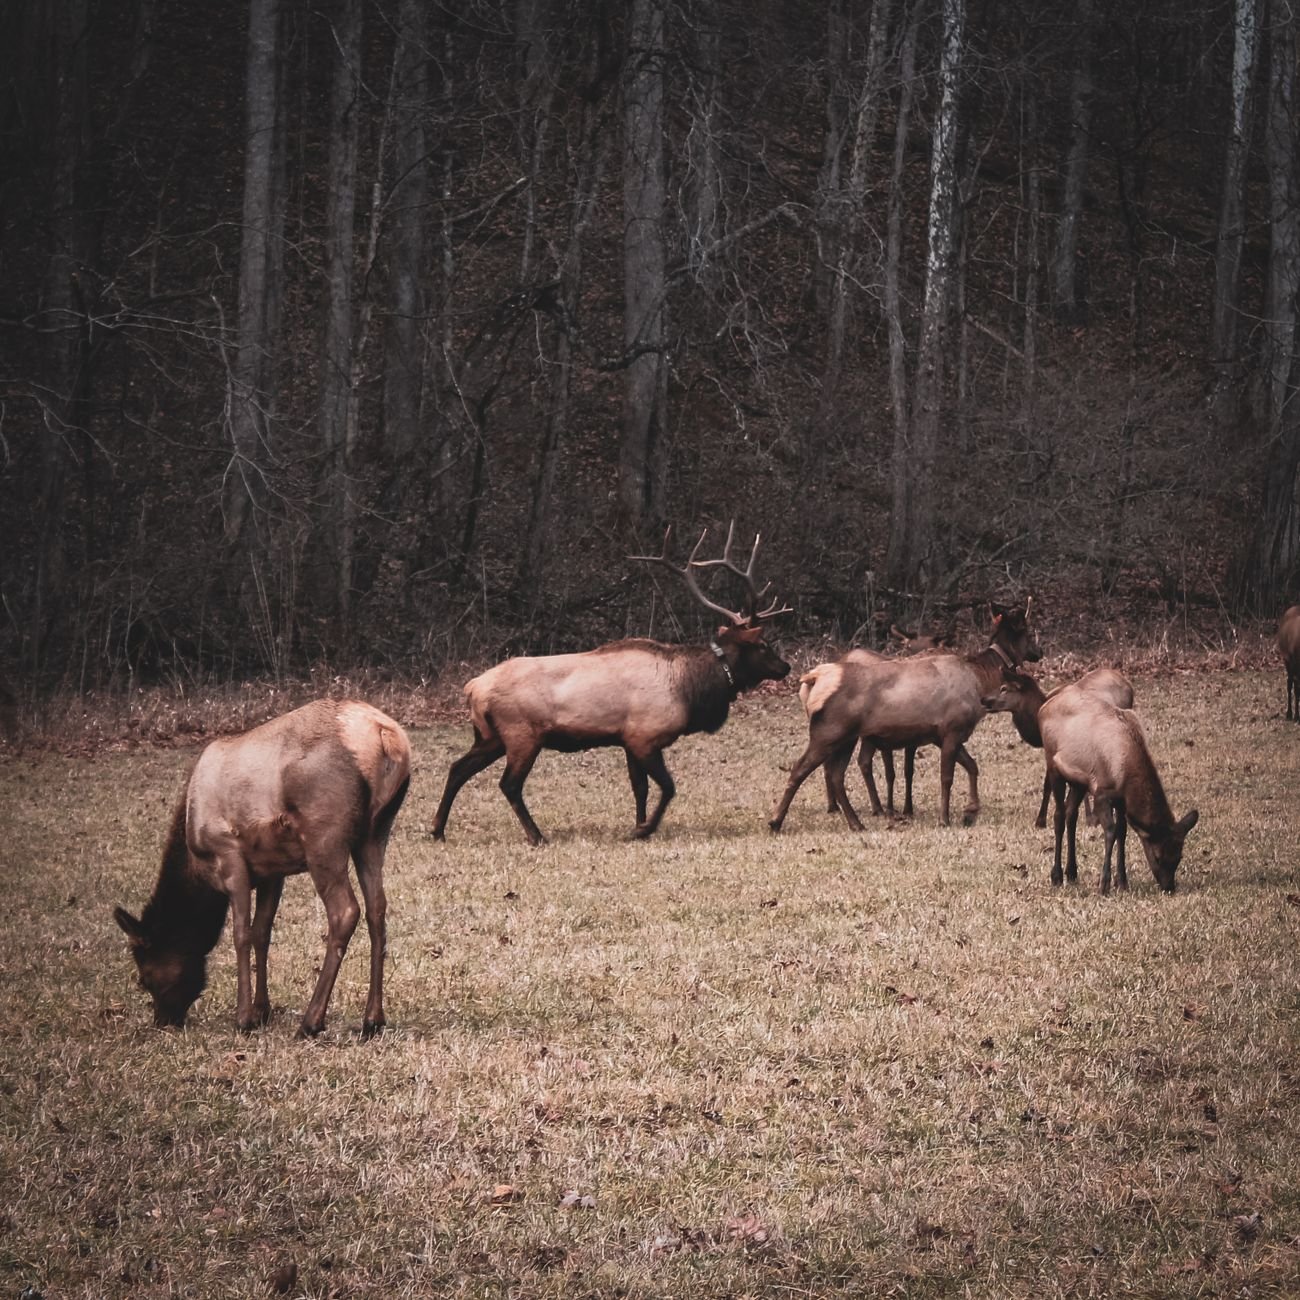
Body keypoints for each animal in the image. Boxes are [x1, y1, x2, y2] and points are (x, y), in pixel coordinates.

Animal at [114, 700, 411, 1036]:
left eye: (144, 977)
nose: (164, 1020)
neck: (197, 869)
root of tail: (385, 737)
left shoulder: (228, 854)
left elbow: (241, 934)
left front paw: (244, 1017)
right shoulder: (273, 869)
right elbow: (262, 932)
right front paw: (261, 1010)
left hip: (324, 837)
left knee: (345, 911)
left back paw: (311, 1021)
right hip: (374, 834)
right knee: (377, 909)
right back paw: (373, 1019)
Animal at [431, 525, 791, 845]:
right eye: (763, 646)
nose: (786, 667)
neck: (690, 690)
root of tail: (473, 688)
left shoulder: (628, 739)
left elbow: (640, 788)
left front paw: (637, 826)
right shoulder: (645, 737)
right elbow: (668, 787)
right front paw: (644, 829)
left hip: (490, 737)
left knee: (457, 768)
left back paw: (437, 830)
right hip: (522, 734)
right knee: (509, 784)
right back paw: (536, 835)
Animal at [770, 604, 1042, 832]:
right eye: (1028, 633)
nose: (1039, 652)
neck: (979, 681)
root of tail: (812, 679)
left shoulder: (943, 735)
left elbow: (972, 766)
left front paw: (970, 811)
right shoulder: (952, 729)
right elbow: (947, 777)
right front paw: (945, 819)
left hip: (846, 737)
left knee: (836, 775)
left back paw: (856, 823)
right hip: (829, 731)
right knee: (799, 769)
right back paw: (776, 821)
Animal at [1039, 688, 1198, 894]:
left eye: (1179, 856)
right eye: (1157, 857)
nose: (1169, 887)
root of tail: (1043, 708)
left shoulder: (1122, 801)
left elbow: (1122, 832)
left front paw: (1122, 881)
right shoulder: (1101, 793)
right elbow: (1111, 831)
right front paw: (1104, 883)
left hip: (1078, 782)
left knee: (1070, 814)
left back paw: (1072, 872)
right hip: (1054, 766)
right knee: (1058, 816)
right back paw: (1057, 875)